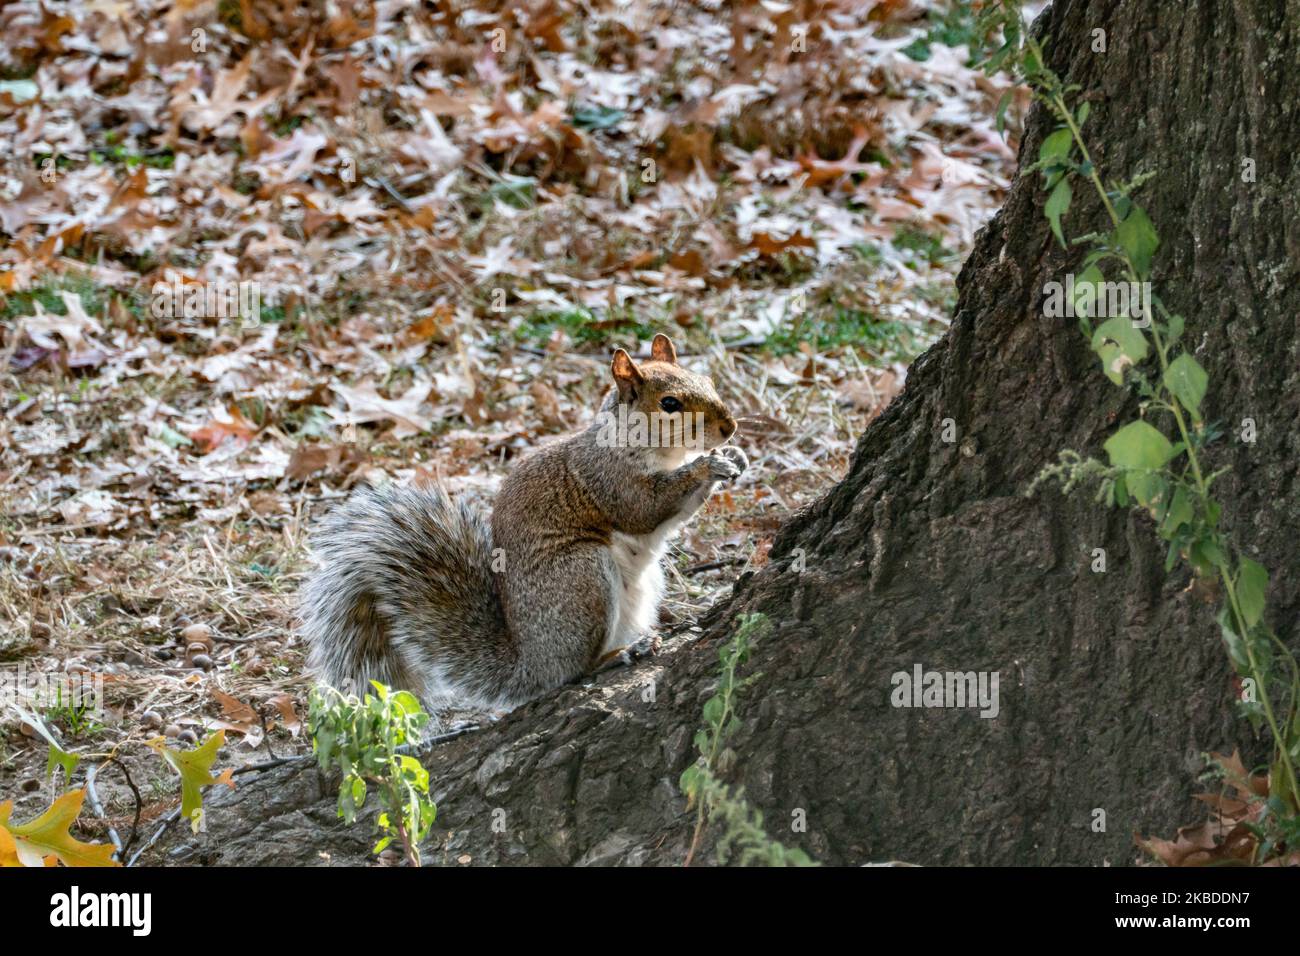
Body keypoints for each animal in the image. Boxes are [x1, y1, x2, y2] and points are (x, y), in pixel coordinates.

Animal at [300, 332, 748, 712]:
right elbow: (644, 508)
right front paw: (706, 464)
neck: (643, 447)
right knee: (573, 671)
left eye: (707, 379)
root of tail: (530, 662)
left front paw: (734, 457)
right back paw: (618, 654)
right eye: (670, 404)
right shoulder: (607, 479)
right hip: (580, 577)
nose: (729, 427)